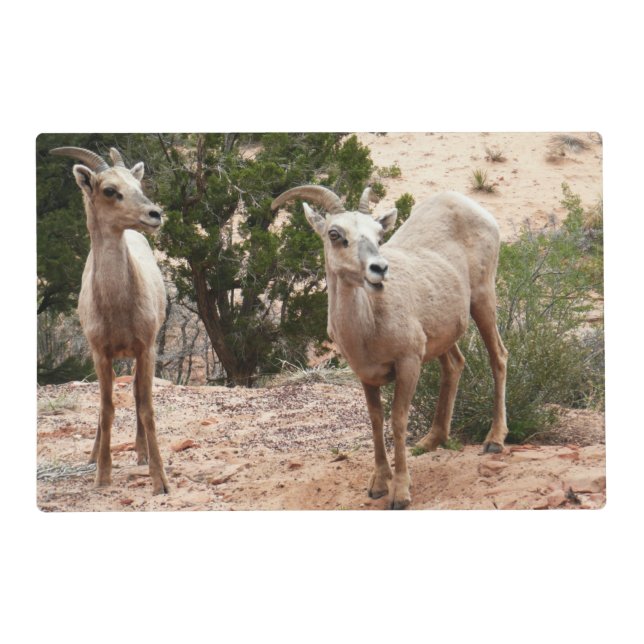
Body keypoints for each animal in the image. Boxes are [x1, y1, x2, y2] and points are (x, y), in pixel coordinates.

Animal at [50, 146, 169, 494]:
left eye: (137, 183)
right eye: (109, 190)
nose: (155, 214)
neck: (117, 307)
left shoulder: (146, 348)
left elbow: (146, 407)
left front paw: (160, 480)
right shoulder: (100, 353)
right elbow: (106, 409)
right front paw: (102, 475)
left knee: (139, 394)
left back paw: (142, 453)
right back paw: (92, 457)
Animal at [271, 185, 508, 509]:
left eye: (378, 235)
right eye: (335, 233)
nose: (379, 269)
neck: (368, 325)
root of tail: (468, 204)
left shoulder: (408, 363)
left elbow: (398, 421)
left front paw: (400, 494)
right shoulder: (366, 375)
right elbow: (375, 421)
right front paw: (378, 485)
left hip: (483, 300)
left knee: (499, 357)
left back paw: (494, 440)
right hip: (443, 334)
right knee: (455, 365)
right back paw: (430, 441)